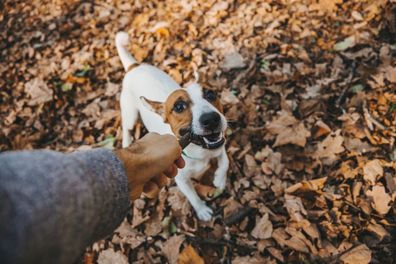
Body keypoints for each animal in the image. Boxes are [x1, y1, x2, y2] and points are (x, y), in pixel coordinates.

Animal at [114, 31, 229, 221]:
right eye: (179, 107)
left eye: (211, 94)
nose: (211, 119)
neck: (200, 151)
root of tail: (134, 67)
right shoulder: (182, 180)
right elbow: (192, 195)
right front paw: (202, 210)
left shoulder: (219, 145)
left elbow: (224, 160)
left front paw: (220, 178)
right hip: (130, 113)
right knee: (126, 128)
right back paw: (126, 142)